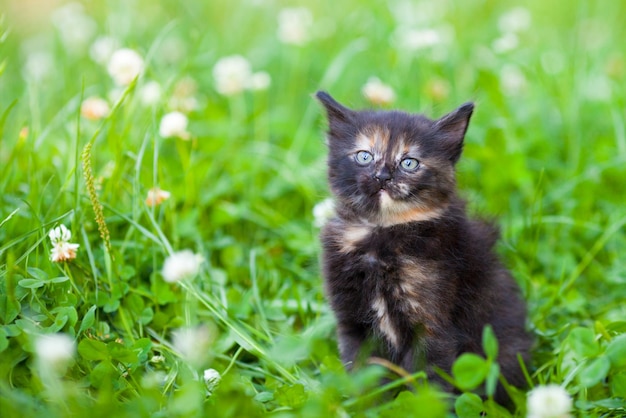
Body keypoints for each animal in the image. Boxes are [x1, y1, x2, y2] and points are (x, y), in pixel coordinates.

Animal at [314, 90, 528, 404]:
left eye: (409, 163)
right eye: (364, 156)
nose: (382, 176)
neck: (382, 234)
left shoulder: (431, 327)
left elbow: (430, 384)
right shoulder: (353, 322)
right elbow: (364, 375)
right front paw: (366, 405)